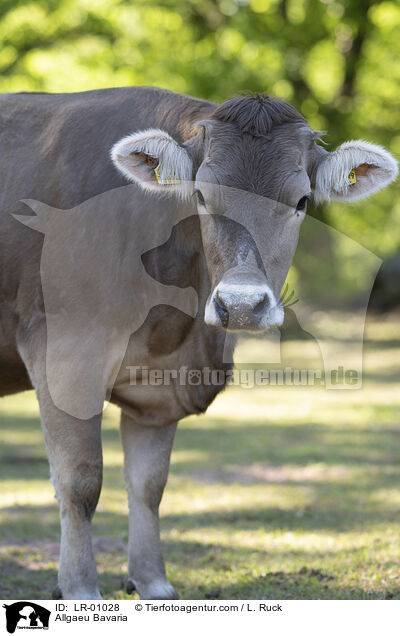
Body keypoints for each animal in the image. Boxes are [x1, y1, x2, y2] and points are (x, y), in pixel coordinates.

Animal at [0, 87, 396, 600]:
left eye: (302, 201)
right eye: (202, 196)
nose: (242, 304)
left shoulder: (157, 386)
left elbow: (148, 485)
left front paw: (153, 582)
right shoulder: (64, 354)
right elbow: (80, 482)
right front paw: (80, 589)